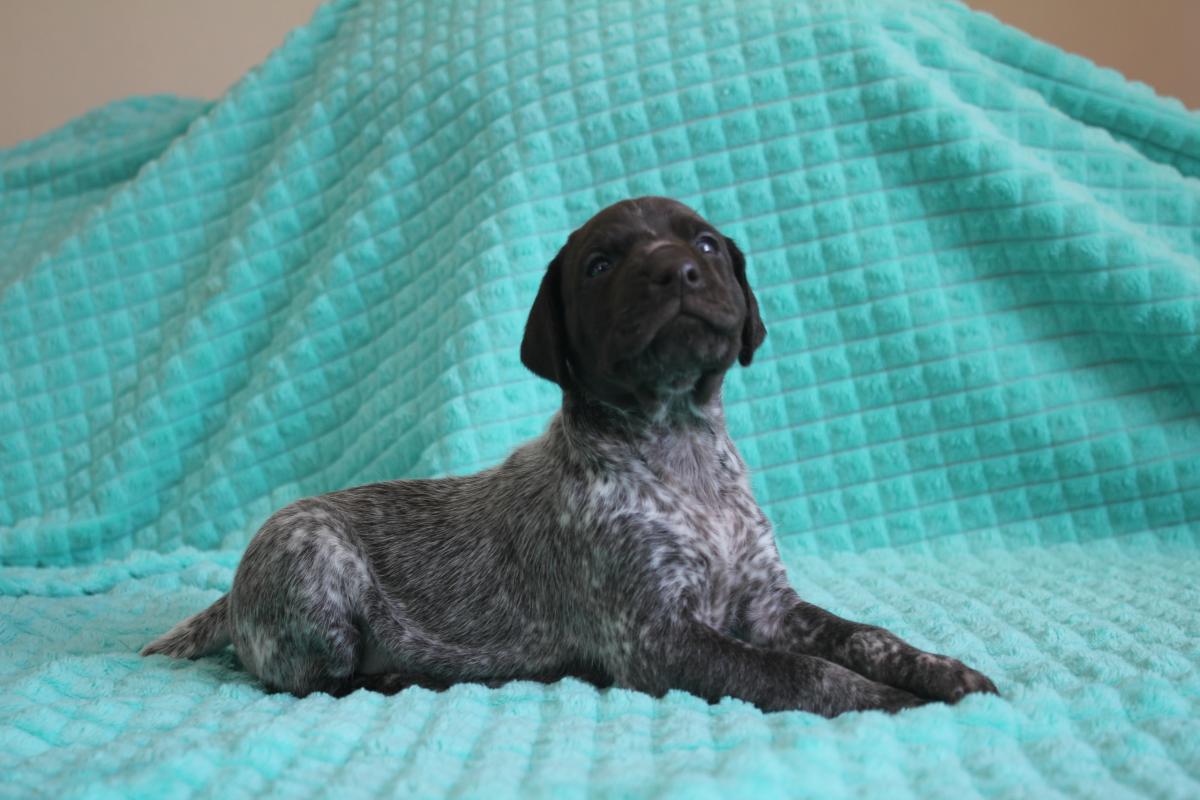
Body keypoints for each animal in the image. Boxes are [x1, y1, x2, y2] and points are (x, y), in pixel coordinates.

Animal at [143, 196, 997, 716]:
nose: (676, 270)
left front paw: (943, 672)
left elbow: (867, 635)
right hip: (315, 561)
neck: (679, 450)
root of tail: (232, 589)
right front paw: (886, 703)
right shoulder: (660, 642)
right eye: (600, 266)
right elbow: (803, 673)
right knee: (314, 683)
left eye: (706, 242)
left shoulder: (768, 607)